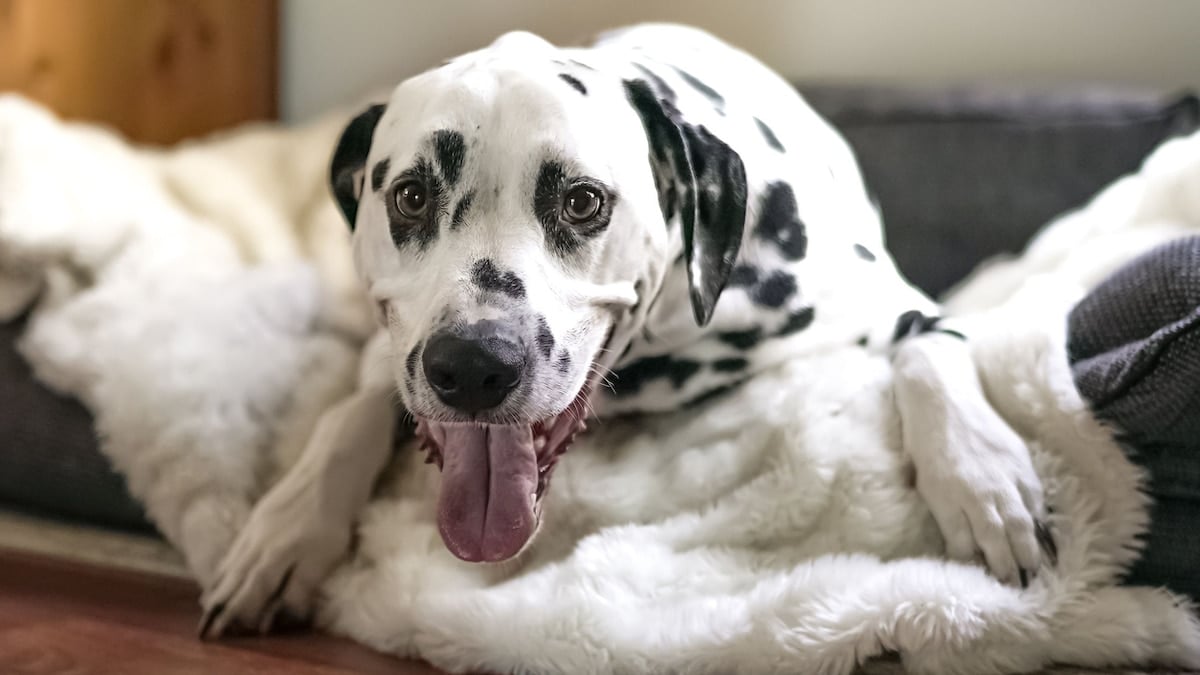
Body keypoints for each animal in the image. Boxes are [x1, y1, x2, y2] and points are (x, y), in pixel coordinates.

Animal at [201, 24, 1046, 634]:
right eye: (409, 195)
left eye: (582, 201)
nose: (473, 364)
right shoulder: (395, 358)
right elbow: (351, 414)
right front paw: (286, 530)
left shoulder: (890, 306)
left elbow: (931, 353)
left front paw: (983, 481)